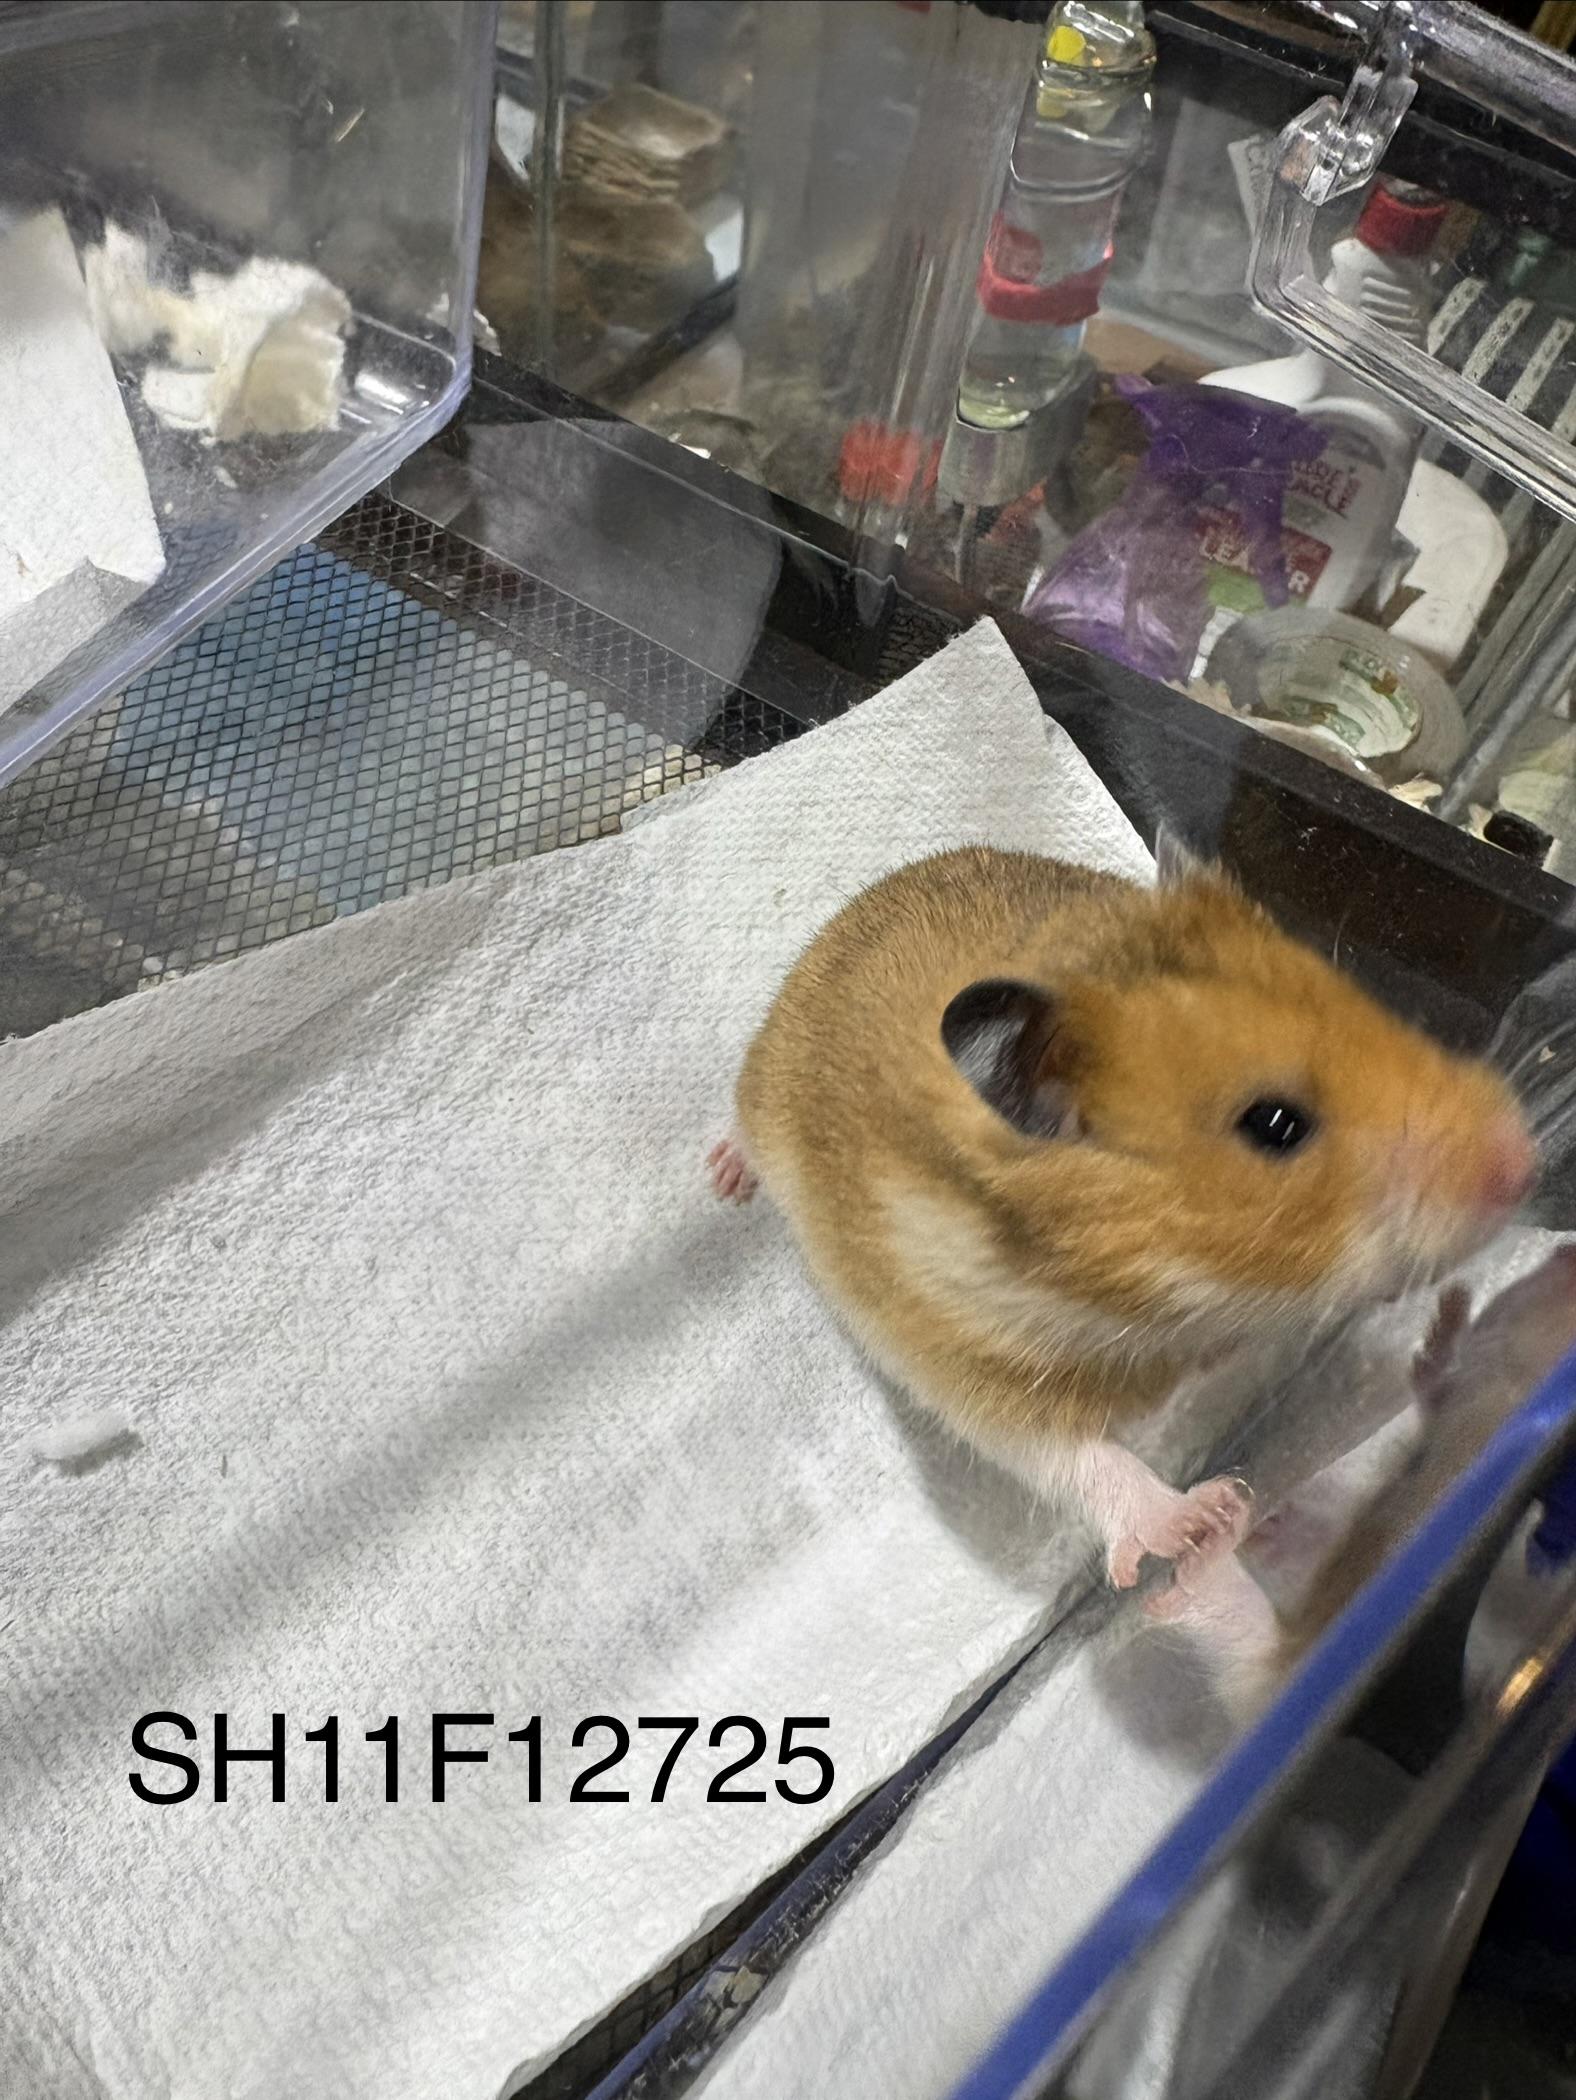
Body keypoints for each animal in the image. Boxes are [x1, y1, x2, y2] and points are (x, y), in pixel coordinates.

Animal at [710, 847, 1535, 1597]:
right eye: (1274, 1125)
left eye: (1366, 1002)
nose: (1522, 1161)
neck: (1162, 1301)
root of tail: (847, 913)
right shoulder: (965, 1364)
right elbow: (1078, 1459)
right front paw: (1205, 1523)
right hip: (759, 1096)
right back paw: (726, 1178)